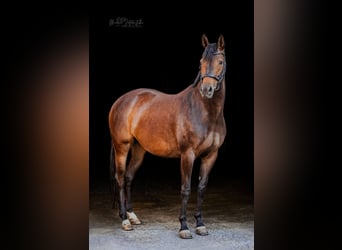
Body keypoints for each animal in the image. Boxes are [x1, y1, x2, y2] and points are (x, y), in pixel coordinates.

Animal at [109, 33, 227, 238]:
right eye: (201, 61)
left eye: (220, 61)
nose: (207, 90)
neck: (207, 113)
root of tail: (121, 100)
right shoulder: (188, 155)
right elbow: (186, 189)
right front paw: (184, 227)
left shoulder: (211, 155)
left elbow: (202, 188)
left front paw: (200, 224)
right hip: (121, 147)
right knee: (121, 178)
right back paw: (124, 220)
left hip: (139, 149)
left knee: (129, 177)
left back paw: (133, 216)